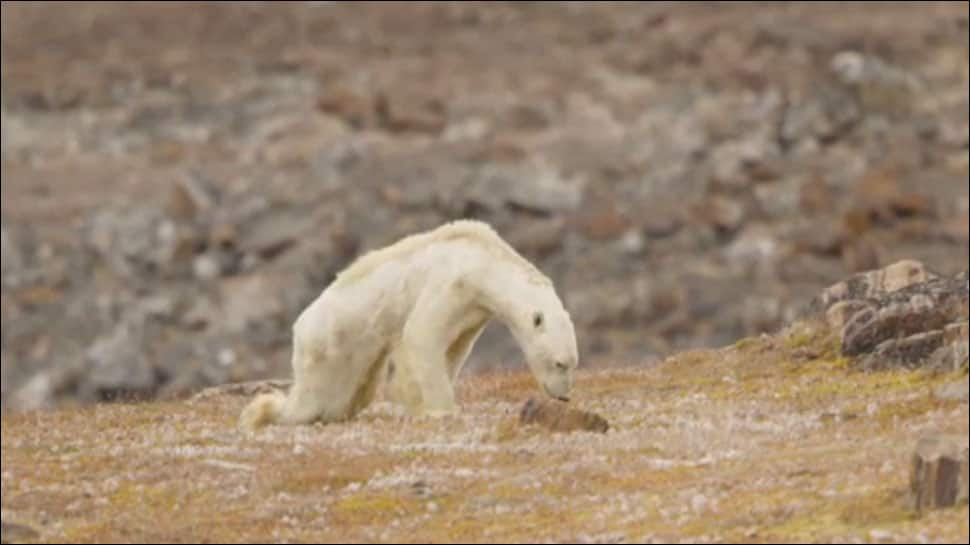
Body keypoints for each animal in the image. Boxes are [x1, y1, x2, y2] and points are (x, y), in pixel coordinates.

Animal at [239, 218, 580, 430]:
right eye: (560, 363)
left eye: (572, 363)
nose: (564, 396)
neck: (483, 260)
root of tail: (300, 326)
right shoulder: (451, 283)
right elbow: (421, 334)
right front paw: (440, 409)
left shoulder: (473, 311)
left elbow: (453, 348)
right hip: (331, 345)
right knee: (312, 400)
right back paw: (261, 412)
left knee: (347, 397)